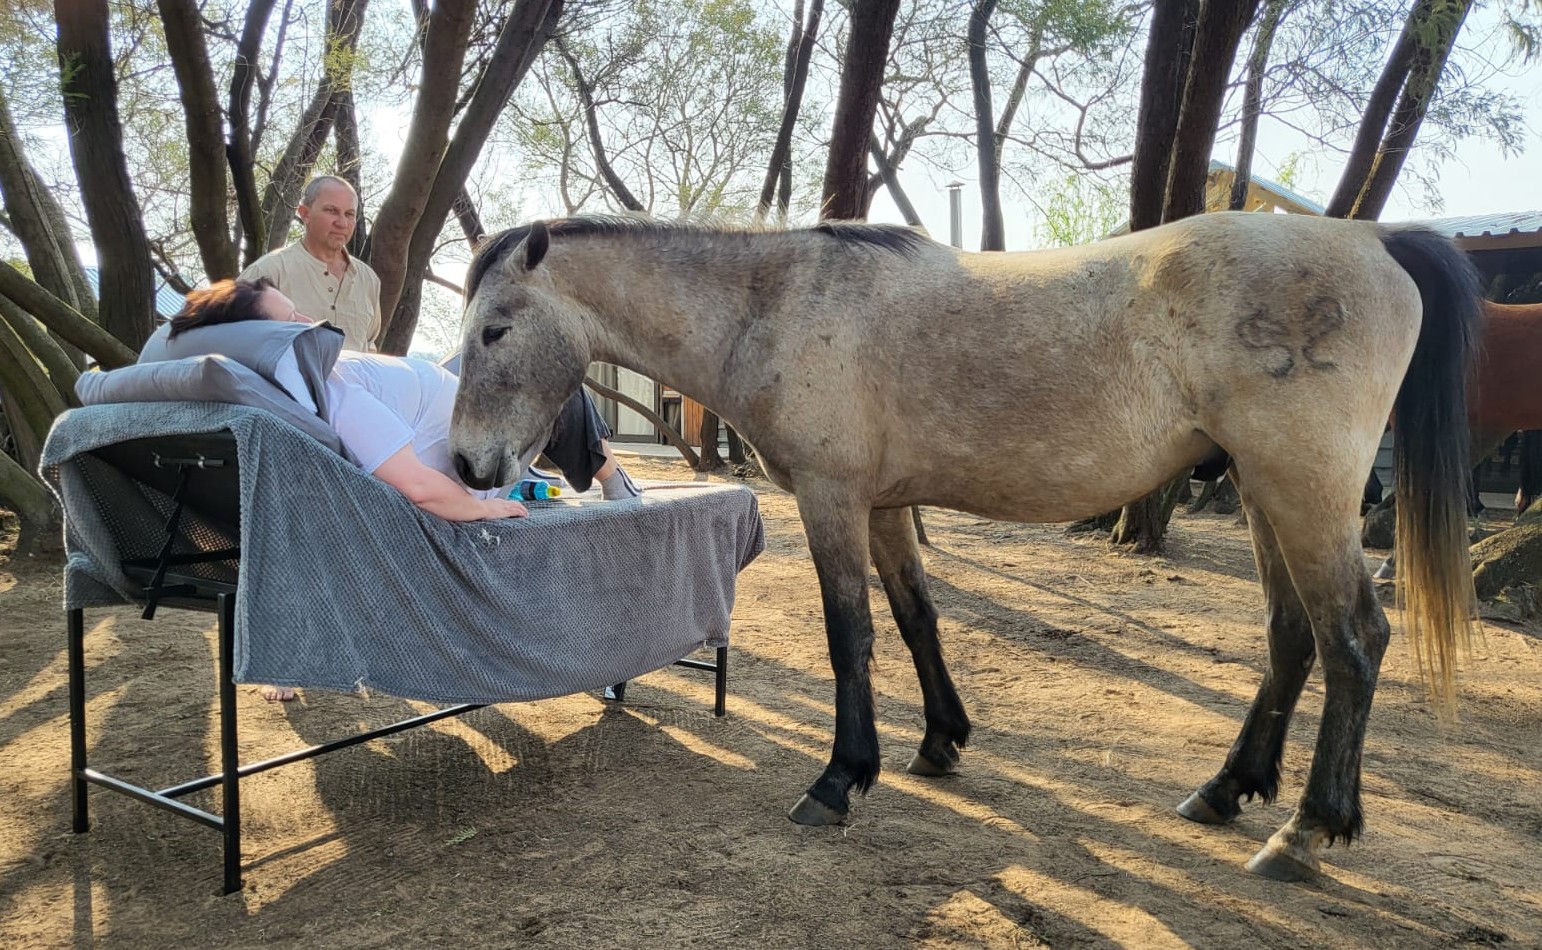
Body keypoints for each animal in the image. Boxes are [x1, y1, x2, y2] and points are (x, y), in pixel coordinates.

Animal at [448, 211, 1480, 882]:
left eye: (495, 329)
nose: (464, 462)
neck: (777, 304)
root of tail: (1374, 240)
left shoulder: (832, 499)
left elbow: (850, 636)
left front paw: (840, 778)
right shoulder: (883, 507)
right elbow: (916, 620)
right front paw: (941, 741)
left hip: (1302, 491)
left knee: (1354, 641)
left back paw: (1308, 831)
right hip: (1269, 496)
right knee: (1293, 639)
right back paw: (1227, 791)